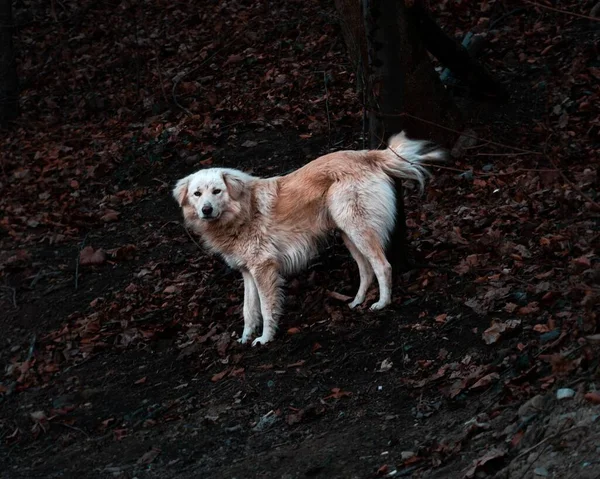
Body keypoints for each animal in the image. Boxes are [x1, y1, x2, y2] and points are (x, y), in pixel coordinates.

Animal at [173, 133, 446, 346]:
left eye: (216, 191)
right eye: (197, 194)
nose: (206, 210)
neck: (241, 212)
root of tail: (366, 155)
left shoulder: (263, 268)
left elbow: (266, 307)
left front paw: (265, 338)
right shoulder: (248, 272)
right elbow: (248, 310)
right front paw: (245, 337)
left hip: (358, 229)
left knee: (382, 266)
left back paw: (382, 303)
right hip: (348, 233)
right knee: (366, 270)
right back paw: (357, 301)